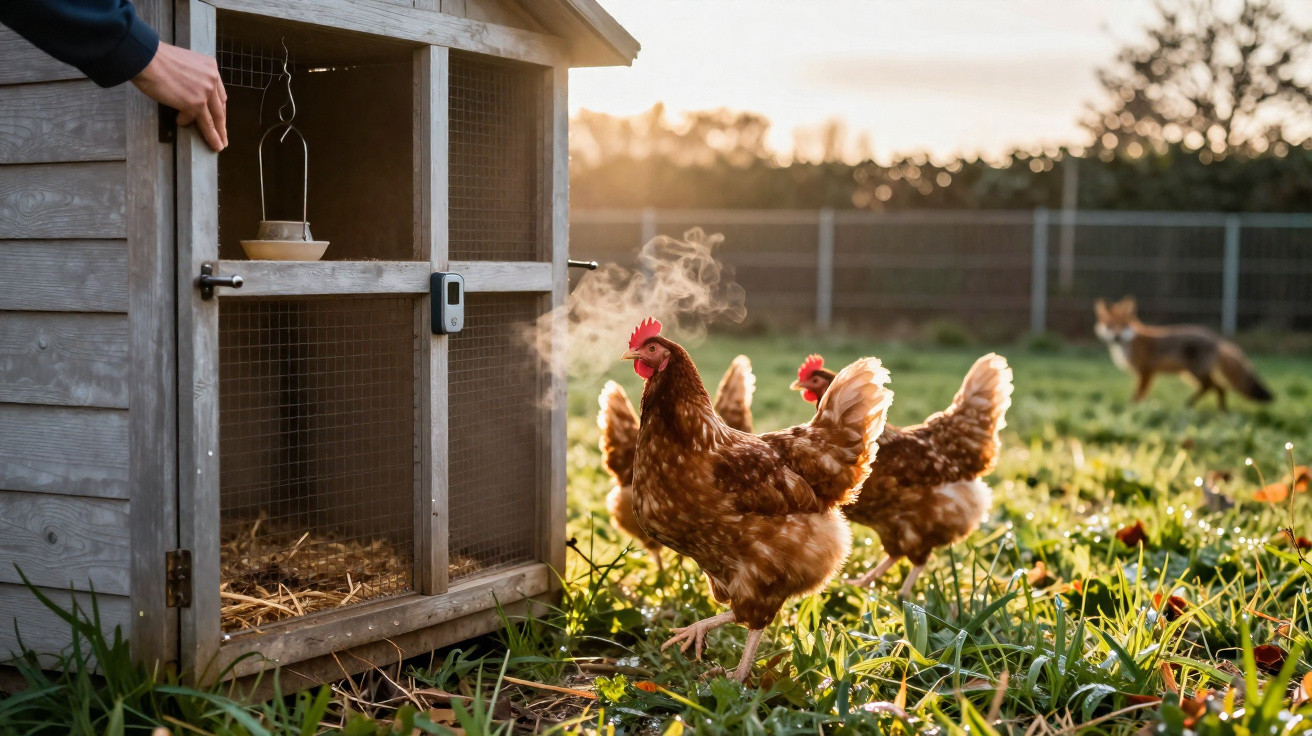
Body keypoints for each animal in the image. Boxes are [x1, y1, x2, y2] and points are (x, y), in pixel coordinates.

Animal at [1094, 297, 1273, 409]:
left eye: (1123, 324)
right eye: (1110, 325)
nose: (1116, 337)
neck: (1130, 341)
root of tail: (1216, 339)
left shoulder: (1146, 372)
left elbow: (1138, 395)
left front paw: (1132, 407)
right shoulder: (1145, 373)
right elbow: (1139, 395)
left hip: (1195, 372)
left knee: (1216, 387)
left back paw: (1203, 408)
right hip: (1189, 374)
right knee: (1215, 388)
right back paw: (1211, 409)